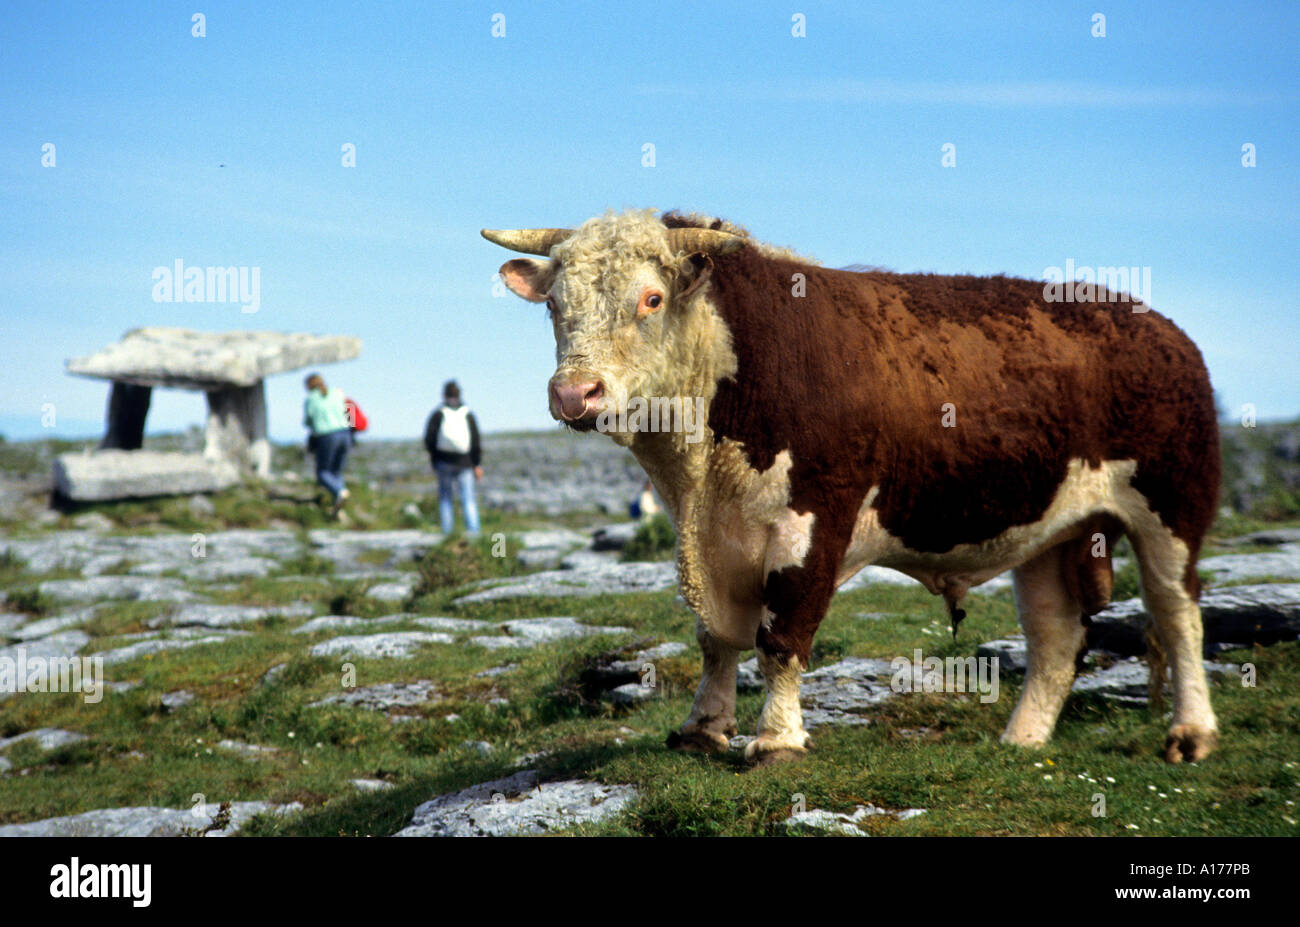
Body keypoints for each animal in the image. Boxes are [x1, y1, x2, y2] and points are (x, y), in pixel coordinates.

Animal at [484, 209, 1220, 767]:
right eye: (554, 305)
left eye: (651, 298)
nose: (574, 394)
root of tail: (1163, 330)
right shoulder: (710, 540)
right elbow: (715, 637)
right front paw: (703, 728)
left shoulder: (813, 520)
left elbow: (781, 634)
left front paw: (776, 740)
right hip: (1045, 527)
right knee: (1056, 635)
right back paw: (1021, 740)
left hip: (1172, 507)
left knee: (1176, 612)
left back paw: (1191, 733)